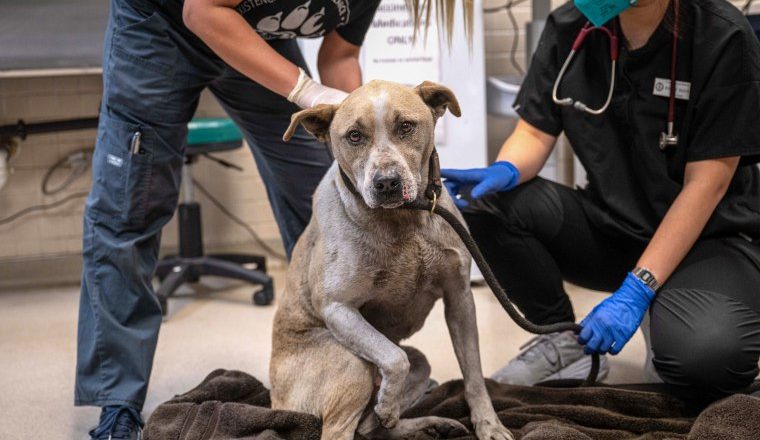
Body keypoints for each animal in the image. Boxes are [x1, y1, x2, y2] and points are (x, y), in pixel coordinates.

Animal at [270, 80, 512, 440]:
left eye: (406, 126)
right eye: (354, 135)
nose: (386, 183)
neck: (404, 219)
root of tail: (274, 401)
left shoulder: (460, 299)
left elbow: (474, 374)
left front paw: (488, 424)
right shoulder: (338, 309)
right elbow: (394, 356)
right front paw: (388, 400)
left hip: (421, 364)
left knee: (371, 427)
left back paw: (430, 423)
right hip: (351, 363)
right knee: (347, 427)